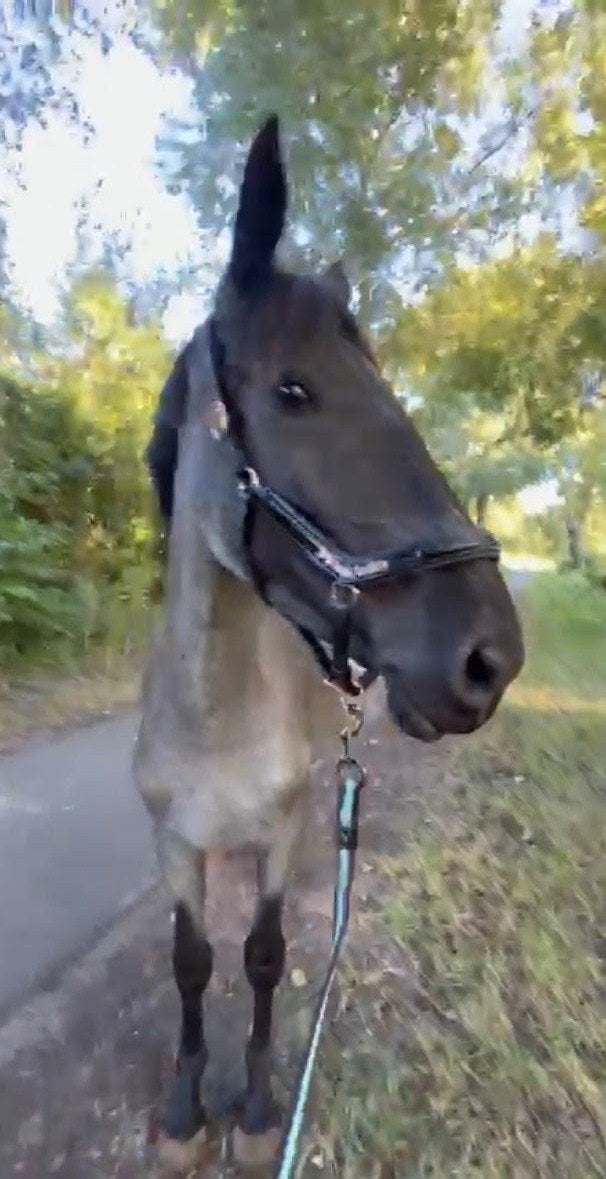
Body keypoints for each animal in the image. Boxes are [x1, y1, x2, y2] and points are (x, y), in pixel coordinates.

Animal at [133, 115, 524, 1171]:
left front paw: (260, 1100)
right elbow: (192, 960)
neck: (214, 713)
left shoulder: (284, 833)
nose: (489, 657)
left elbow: (264, 957)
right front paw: (184, 1104)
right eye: (294, 390)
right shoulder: (173, 845)